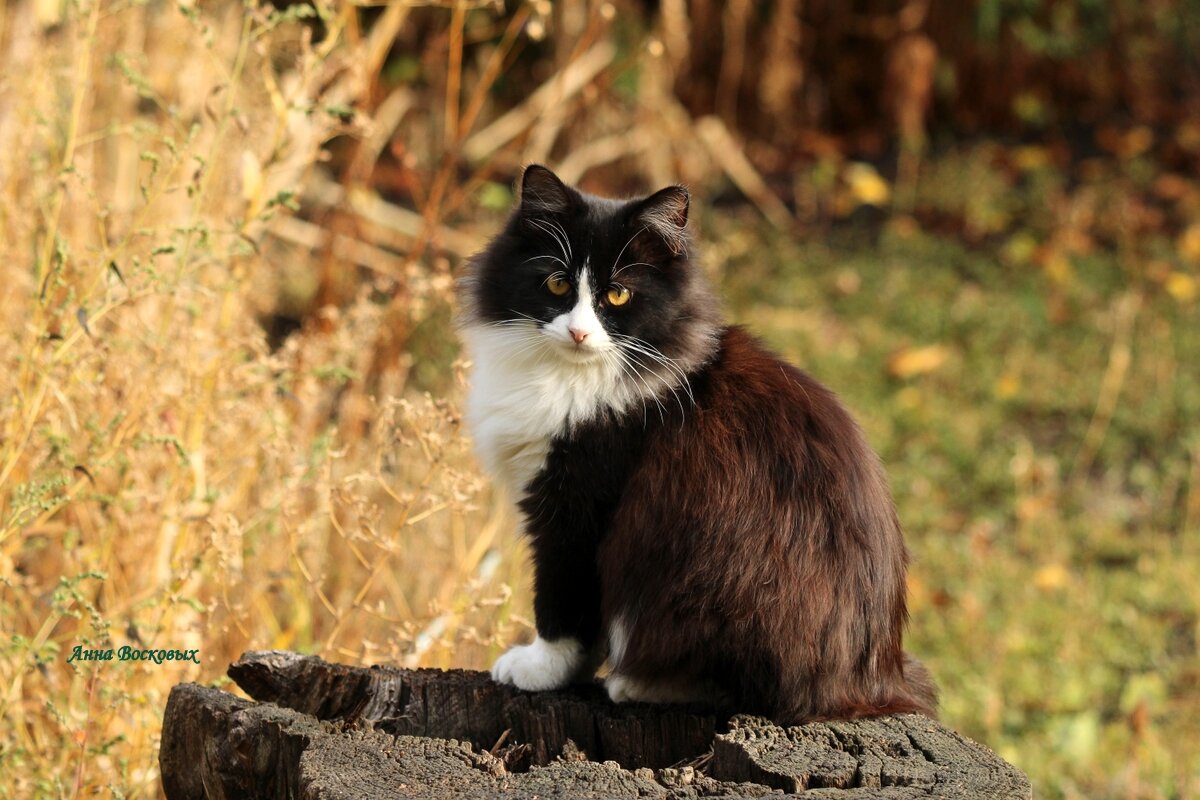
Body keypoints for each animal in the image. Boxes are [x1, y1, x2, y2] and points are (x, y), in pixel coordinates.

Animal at [458, 164, 936, 724]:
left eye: (617, 296)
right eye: (557, 283)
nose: (578, 334)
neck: (571, 378)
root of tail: (873, 682)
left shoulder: (575, 506)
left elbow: (563, 604)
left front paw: (538, 669)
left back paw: (636, 684)